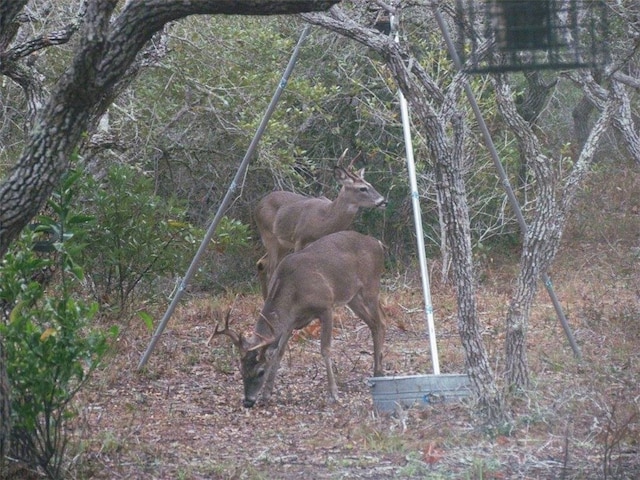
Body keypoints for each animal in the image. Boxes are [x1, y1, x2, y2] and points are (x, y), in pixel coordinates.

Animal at [214, 231, 384, 406]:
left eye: (261, 371)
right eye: (241, 370)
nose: (248, 401)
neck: (294, 291)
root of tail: (377, 243)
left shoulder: (326, 306)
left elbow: (325, 349)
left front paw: (334, 394)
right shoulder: (290, 322)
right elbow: (279, 352)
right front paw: (266, 394)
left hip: (371, 287)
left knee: (380, 322)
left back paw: (378, 371)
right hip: (352, 297)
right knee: (374, 323)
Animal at [254, 152, 384, 298]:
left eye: (370, 184)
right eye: (362, 188)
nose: (383, 201)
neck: (323, 220)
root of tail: (258, 205)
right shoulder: (299, 239)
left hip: (283, 244)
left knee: (262, 263)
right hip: (269, 236)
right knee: (270, 271)